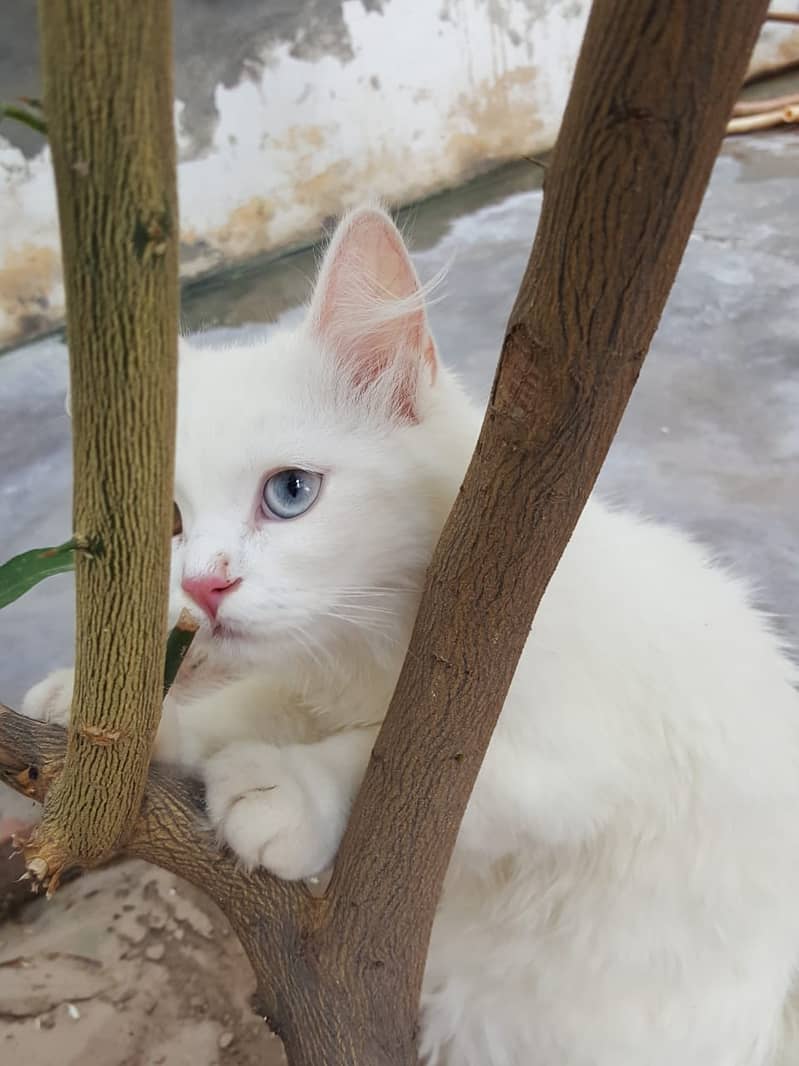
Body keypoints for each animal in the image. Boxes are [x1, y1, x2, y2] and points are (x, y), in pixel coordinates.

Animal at [23, 203, 799, 1061]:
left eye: (290, 493)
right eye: (168, 522)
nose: (202, 584)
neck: (373, 648)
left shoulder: (561, 758)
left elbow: (388, 766)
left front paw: (288, 791)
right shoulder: (308, 683)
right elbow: (242, 711)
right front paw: (107, 724)